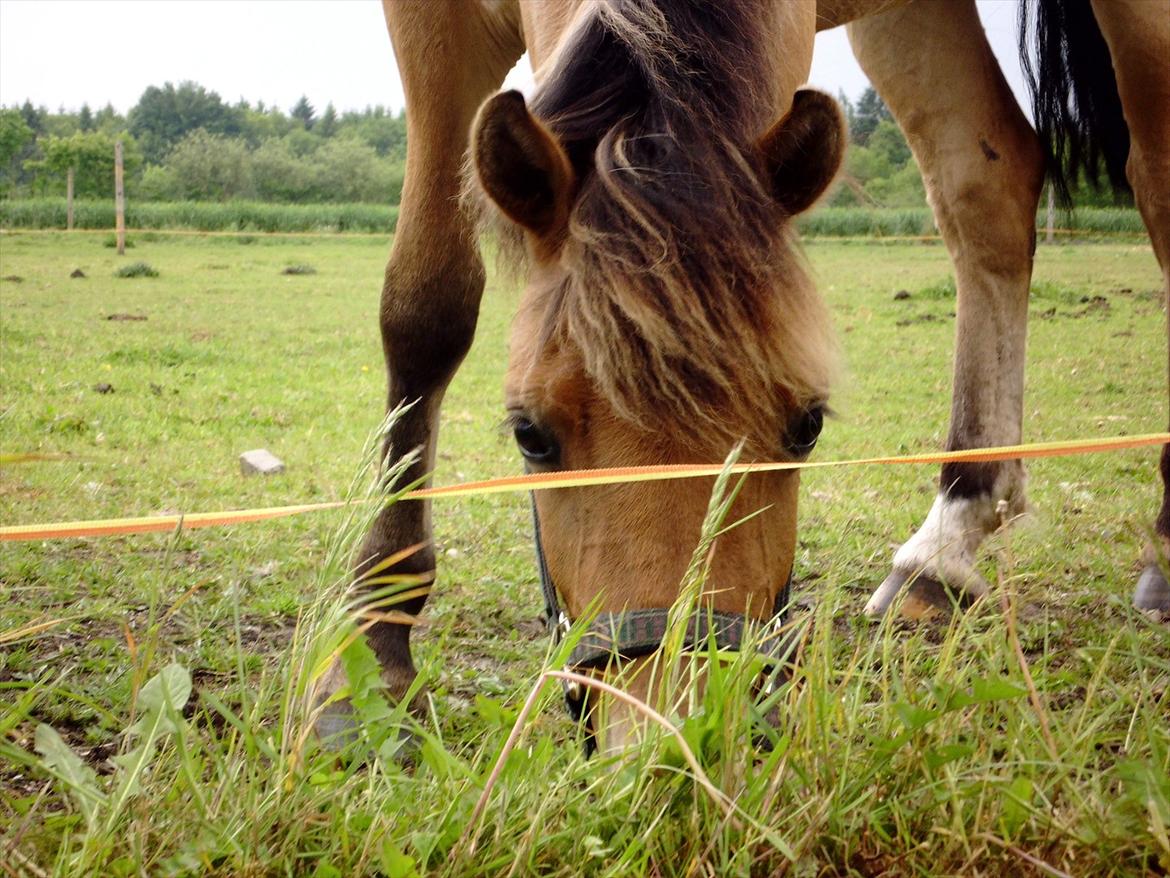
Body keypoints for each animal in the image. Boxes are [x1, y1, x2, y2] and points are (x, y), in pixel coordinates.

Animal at [320, 1, 1170, 758]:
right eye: (529, 435)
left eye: (808, 425)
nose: (673, 737)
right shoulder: (430, 22)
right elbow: (426, 307)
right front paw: (372, 651)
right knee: (985, 182)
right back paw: (943, 549)